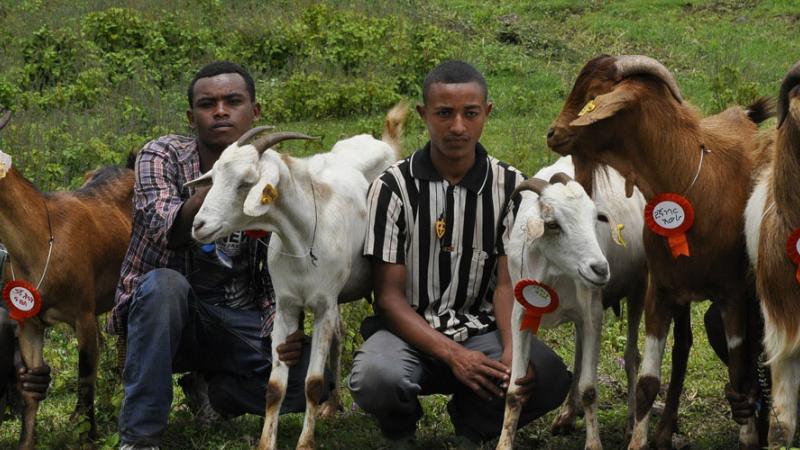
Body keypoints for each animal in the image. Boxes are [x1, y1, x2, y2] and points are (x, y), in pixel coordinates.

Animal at [0, 110, 134, 448]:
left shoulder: (82, 314)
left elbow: (85, 377)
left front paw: (88, 436)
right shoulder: (29, 322)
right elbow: (30, 394)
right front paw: (26, 443)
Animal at [184, 103, 404, 450]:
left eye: (246, 182)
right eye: (215, 176)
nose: (199, 226)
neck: (302, 238)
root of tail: (384, 144)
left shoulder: (323, 305)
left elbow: (312, 382)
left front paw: (305, 443)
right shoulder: (286, 306)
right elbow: (274, 388)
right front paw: (266, 442)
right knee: (339, 335)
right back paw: (332, 406)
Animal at [496, 156, 648, 450]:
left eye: (595, 218)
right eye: (553, 224)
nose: (600, 269)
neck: (554, 274)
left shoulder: (592, 314)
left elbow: (589, 390)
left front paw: (594, 444)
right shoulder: (521, 313)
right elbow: (514, 391)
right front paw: (503, 444)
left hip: (639, 287)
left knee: (632, 355)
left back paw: (630, 425)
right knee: (579, 356)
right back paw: (567, 414)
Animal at [548, 55, 772, 450]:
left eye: (592, 97)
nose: (552, 133)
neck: (691, 185)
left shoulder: (732, 295)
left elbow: (737, 370)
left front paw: (747, 438)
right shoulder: (662, 290)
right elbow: (648, 383)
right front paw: (638, 440)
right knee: (683, 346)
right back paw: (666, 429)